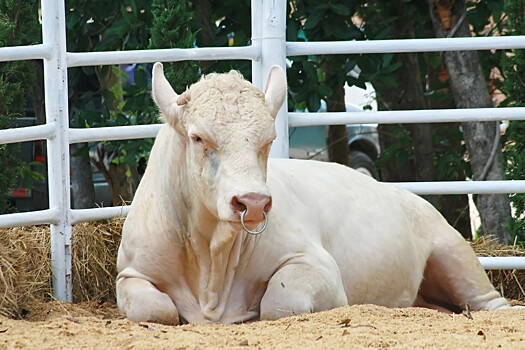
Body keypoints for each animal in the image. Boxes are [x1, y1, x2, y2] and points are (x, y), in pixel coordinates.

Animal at [115, 60, 512, 326]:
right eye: (198, 137)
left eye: (268, 140)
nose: (253, 203)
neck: (211, 263)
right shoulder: (130, 273)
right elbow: (156, 309)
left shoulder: (318, 266)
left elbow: (280, 300)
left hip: (452, 250)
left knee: (490, 302)